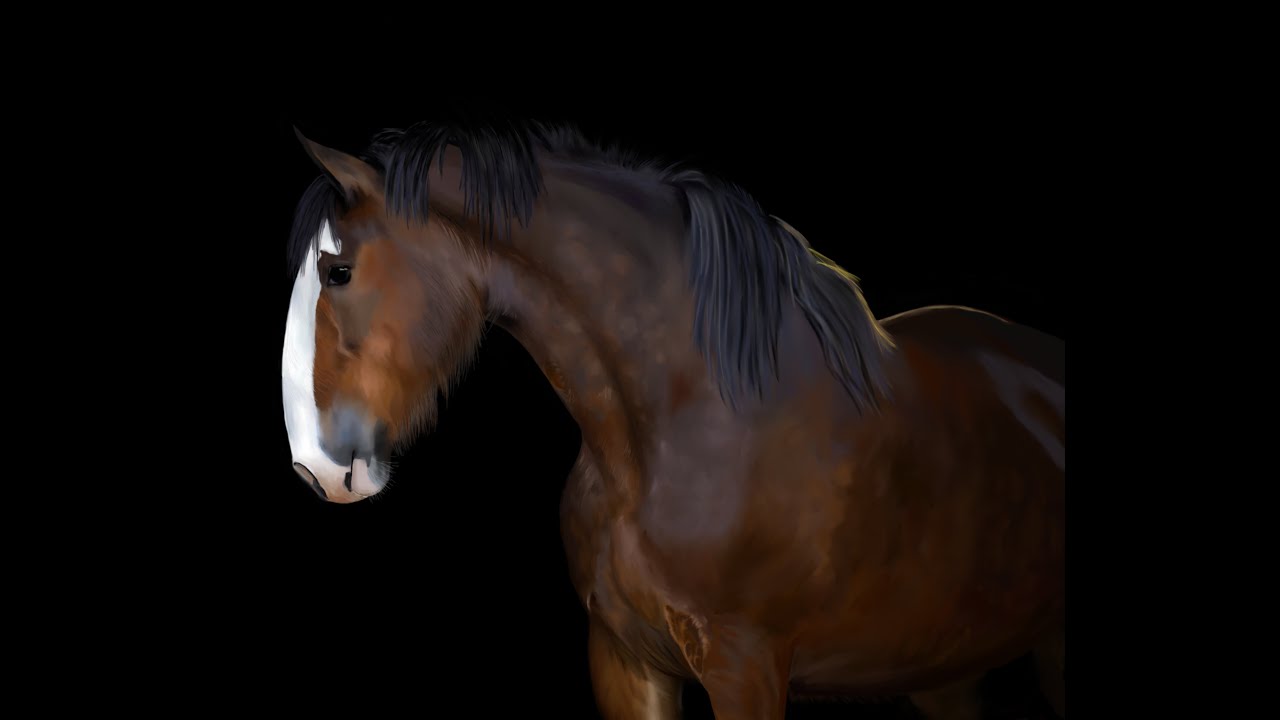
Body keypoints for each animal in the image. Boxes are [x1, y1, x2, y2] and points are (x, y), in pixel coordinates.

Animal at [280, 121, 1065, 720]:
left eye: (339, 272)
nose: (315, 471)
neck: (683, 427)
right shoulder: (624, 661)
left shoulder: (746, 666)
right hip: (943, 670)